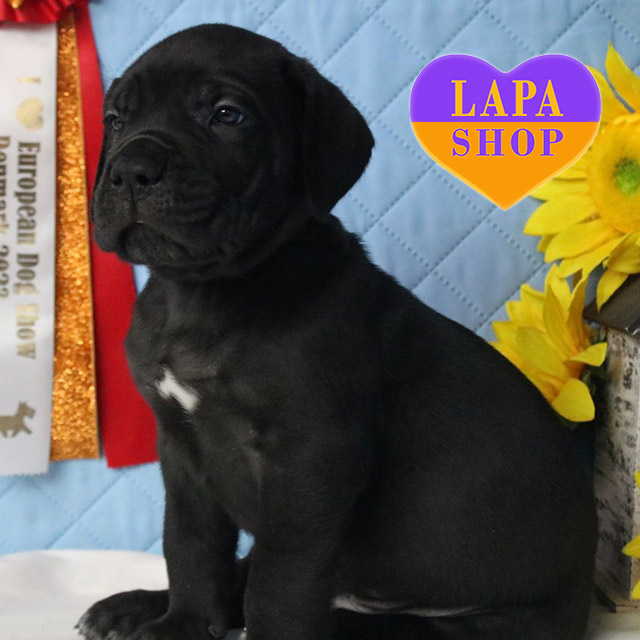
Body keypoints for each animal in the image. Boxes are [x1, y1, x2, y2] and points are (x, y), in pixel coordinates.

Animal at [78, 24, 597, 640]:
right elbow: (190, 547)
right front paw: (180, 624)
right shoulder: (181, 450)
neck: (203, 297)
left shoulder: (312, 457)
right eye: (115, 119)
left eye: (227, 115)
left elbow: (278, 580)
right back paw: (129, 607)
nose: (130, 170)